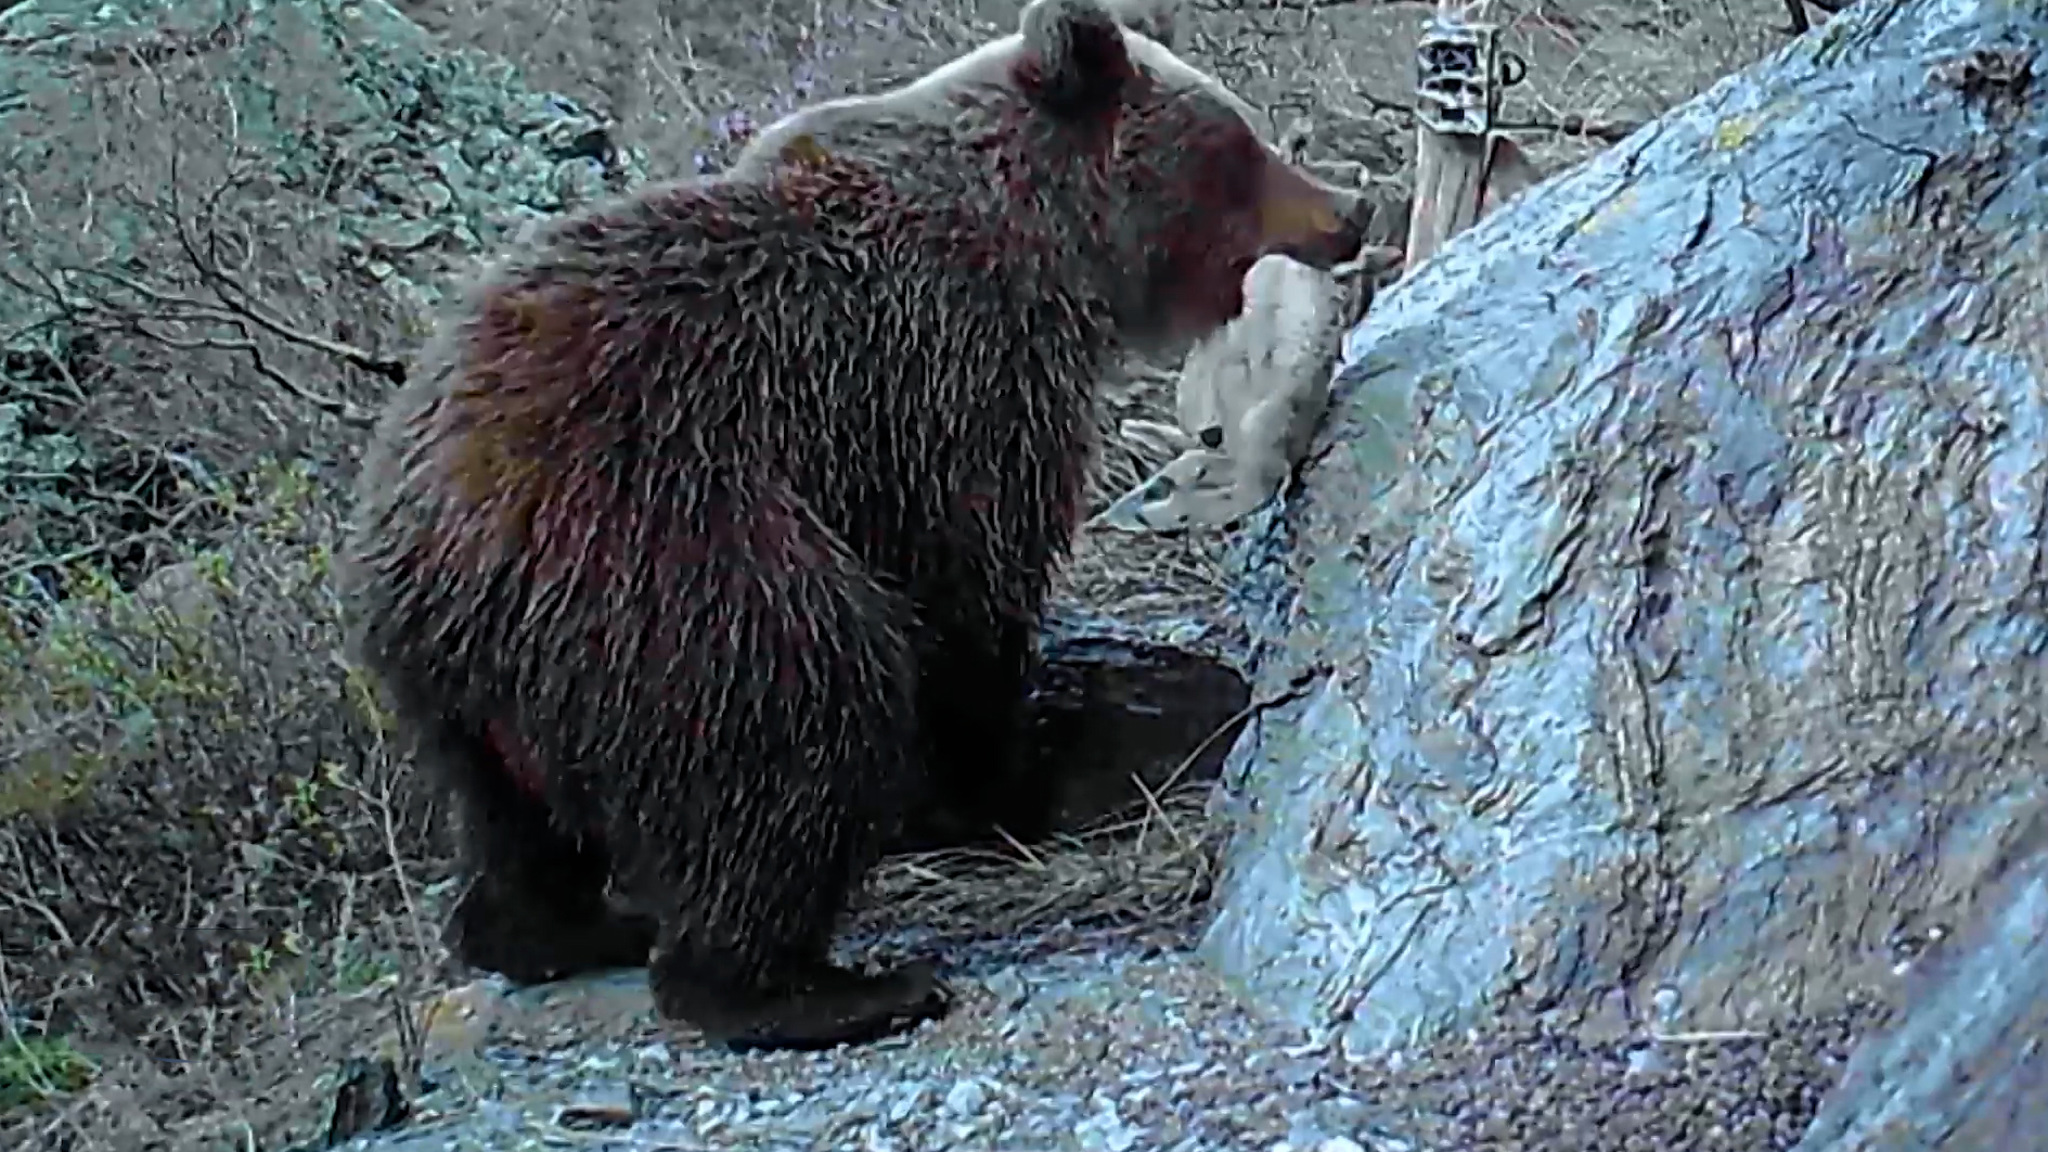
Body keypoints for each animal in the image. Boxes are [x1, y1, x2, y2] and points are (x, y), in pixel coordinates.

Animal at [336, 0, 1369, 1053]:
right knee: (802, 711)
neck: (1043, 247)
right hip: (664, 563)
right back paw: (816, 984)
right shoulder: (945, 386)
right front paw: (1008, 782)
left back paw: (559, 927)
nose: (1353, 209)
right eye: (1238, 143)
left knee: (507, 824)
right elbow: (970, 595)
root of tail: (442, 564)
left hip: (455, 684)